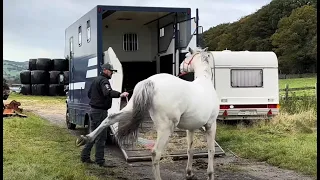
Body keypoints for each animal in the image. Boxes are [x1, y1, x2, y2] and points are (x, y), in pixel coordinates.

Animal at [76, 46, 220, 180]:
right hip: (165, 128)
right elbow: (211, 150)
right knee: (155, 153)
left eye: (186, 56)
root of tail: (150, 82)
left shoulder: (191, 128)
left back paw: (85, 138)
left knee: (110, 118)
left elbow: (190, 150)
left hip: (130, 110)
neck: (205, 82)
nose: (180, 67)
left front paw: (189, 173)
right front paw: (210, 174)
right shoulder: (211, 125)